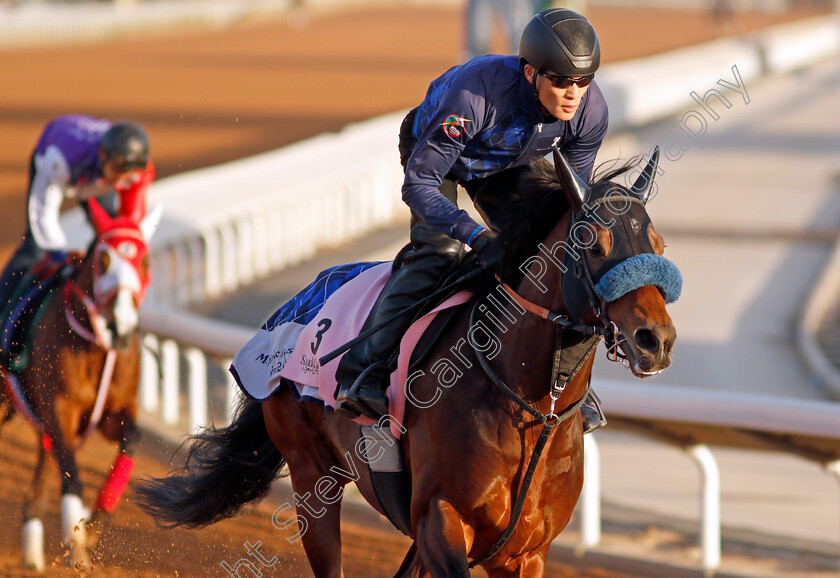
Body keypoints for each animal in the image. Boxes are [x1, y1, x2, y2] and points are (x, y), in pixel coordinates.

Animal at [0, 196, 160, 568]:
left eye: (144, 261)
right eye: (103, 260)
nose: (121, 326)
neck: (97, 346)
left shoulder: (111, 413)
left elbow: (131, 440)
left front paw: (90, 526)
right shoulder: (61, 409)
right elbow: (71, 471)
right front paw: (76, 540)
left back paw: (32, 553)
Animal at [136, 146, 676, 572]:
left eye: (659, 244)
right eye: (594, 245)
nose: (656, 339)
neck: (531, 409)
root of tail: (295, 303)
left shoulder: (525, 551)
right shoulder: (439, 521)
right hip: (311, 477)